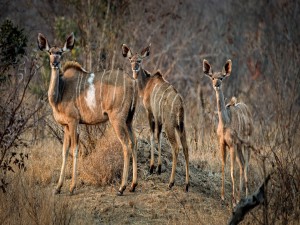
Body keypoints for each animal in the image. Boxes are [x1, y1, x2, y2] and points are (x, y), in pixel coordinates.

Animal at [36, 33, 138, 195]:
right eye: (50, 52)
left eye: (60, 52)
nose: (55, 63)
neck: (59, 93)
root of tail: (133, 82)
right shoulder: (65, 126)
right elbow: (64, 151)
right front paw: (57, 188)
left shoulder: (73, 122)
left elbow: (75, 149)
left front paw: (72, 187)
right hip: (129, 120)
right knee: (134, 143)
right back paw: (133, 185)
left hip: (117, 119)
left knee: (126, 145)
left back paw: (121, 188)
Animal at [120, 43, 189, 191]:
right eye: (130, 60)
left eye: (140, 60)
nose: (135, 68)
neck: (146, 84)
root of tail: (180, 104)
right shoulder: (159, 118)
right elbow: (159, 136)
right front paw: (159, 168)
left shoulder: (150, 112)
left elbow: (152, 135)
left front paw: (152, 167)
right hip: (181, 126)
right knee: (186, 148)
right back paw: (187, 185)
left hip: (170, 125)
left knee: (176, 147)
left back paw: (171, 183)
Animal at [204, 59, 253, 203]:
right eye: (212, 77)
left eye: (221, 77)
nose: (216, 84)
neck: (225, 123)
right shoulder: (222, 143)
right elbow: (223, 166)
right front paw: (223, 196)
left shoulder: (231, 144)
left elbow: (232, 170)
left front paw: (234, 199)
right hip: (239, 146)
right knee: (242, 164)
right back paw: (242, 195)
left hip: (247, 142)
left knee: (246, 164)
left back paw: (245, 195)